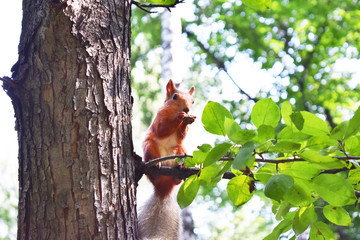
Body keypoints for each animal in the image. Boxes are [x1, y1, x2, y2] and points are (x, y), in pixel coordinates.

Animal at [138, 79, 195, 240]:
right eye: (174, 96)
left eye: (193, 101)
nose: (187, 109)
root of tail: (163, 191)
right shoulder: (159, 118)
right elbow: (162, 129)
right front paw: (180, 118)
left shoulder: (180, 139)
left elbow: (181, 136)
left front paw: (186, 121)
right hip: (149, 147)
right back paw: (156, 166)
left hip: (181, 152)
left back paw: (180, 170)